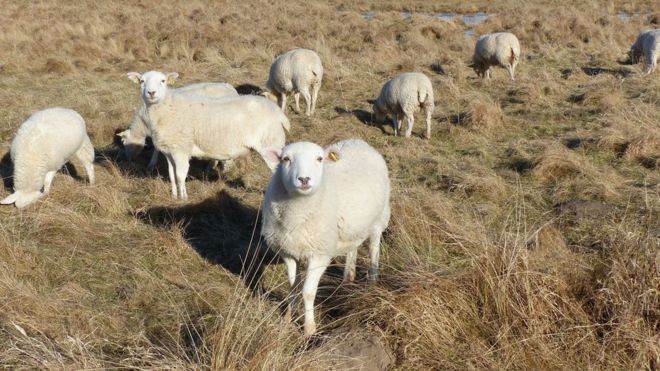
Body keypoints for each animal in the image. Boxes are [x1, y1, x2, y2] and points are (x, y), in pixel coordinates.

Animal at [129, 71, 292, 202]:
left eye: (163, 80)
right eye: (142, 81)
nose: (151, 93)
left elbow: (181, 175)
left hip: (270, 144)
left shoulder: (181, 149)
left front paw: (183, 198)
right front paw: (174, 196)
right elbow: (172, 175)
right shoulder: (169, 151)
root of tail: (279, 113)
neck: (166, 108)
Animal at [260, 140, 390, 338]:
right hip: (353, 226)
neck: (297, 215)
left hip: (379, 218)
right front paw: (287, 319)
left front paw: (309, 329)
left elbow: (307, 292)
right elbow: (292, 287)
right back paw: (348, 277)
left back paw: (372, 283)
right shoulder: (288, 251)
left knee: (374, 248)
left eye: (319, 159)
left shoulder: (319, 254)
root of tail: (358, 141)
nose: (304, 179)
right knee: (353, 248)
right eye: (286, 159)